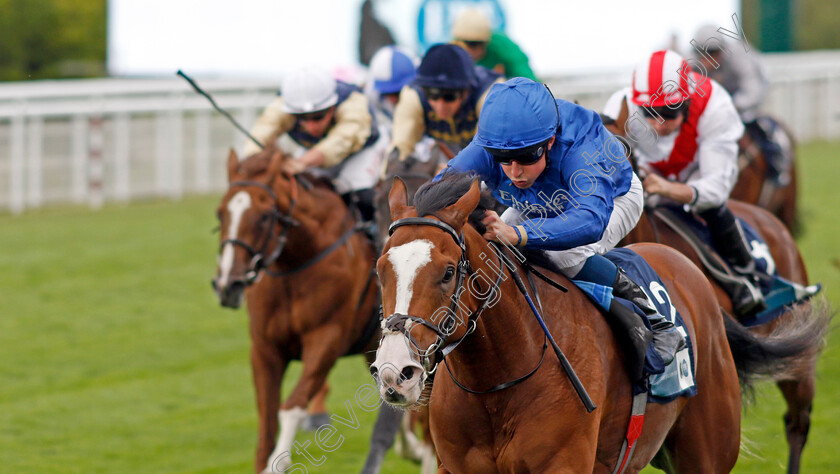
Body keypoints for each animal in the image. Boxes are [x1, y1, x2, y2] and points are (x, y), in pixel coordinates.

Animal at [210, 146, 380, 472]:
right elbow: (267, 418)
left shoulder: (327, 339)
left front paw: (280, 460)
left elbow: (292, 406)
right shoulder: (265, 348)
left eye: (265, 216)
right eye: (220, 212)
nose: (228, 285)